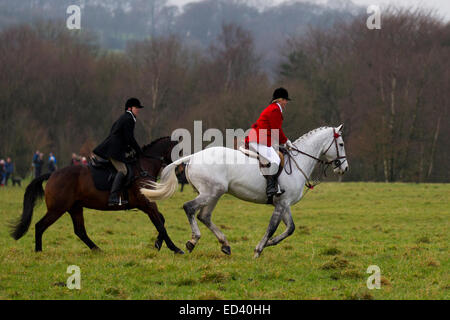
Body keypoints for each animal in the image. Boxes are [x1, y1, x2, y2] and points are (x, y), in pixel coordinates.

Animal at [10, 136, 184, 254]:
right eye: (180, 151)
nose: (182, 170)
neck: (143, 167)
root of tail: (52, 174)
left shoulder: (146, 204)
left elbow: (161, 221)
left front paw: (158, 245)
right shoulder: (147, 204)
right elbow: (160, 224)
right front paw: (175, 248)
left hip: (75, 208)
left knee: (80, 231)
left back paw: (97, 250)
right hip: (57, 209)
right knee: (40, 226)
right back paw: (39, 252)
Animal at [140, 125, 348, 258]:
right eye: (341, 145)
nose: (344, 168)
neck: (297, 163)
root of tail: (194, 156)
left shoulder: (284, 203)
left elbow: (290, 228)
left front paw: (269, 243)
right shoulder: (281, 203)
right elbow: (273, 226)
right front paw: (259, 249)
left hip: (215, 193)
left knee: (204, 216)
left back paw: (225, 245)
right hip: (210, 192)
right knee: (189, 208)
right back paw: (193, 241)